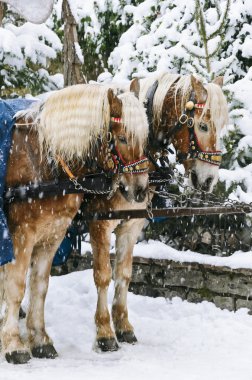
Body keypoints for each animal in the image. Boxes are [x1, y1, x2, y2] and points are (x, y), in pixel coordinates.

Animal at [0, 82, 150, 362]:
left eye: (145, 138)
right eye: (123, 138)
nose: (140, 189)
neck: (44, 161)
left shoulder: (52, 235)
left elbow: (39, 286)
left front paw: (40, 340)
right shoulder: (20, 236)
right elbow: (16, 287)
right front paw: (14, 344)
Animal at [84, 73, 228, 350]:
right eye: (203, 126)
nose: (208, 180)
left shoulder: (131, 225)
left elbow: (124, 274)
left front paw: (123, 326)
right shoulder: (99, 224)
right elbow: (102, 275)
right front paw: (105, 333)